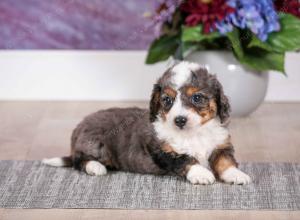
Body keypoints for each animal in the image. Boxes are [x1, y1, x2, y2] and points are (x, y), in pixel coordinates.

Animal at [42, 61, 251, 185]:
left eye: (197, 98)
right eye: (167, 100)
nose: (179, 120)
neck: (193, 133)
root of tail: (79, 127)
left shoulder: (221, 145)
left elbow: (225, 161)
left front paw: (236, 175)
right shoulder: (163, 150)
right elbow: (185, 159)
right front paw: (201, 174)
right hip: (94, 143)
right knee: (78, 160)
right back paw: (96, 167)